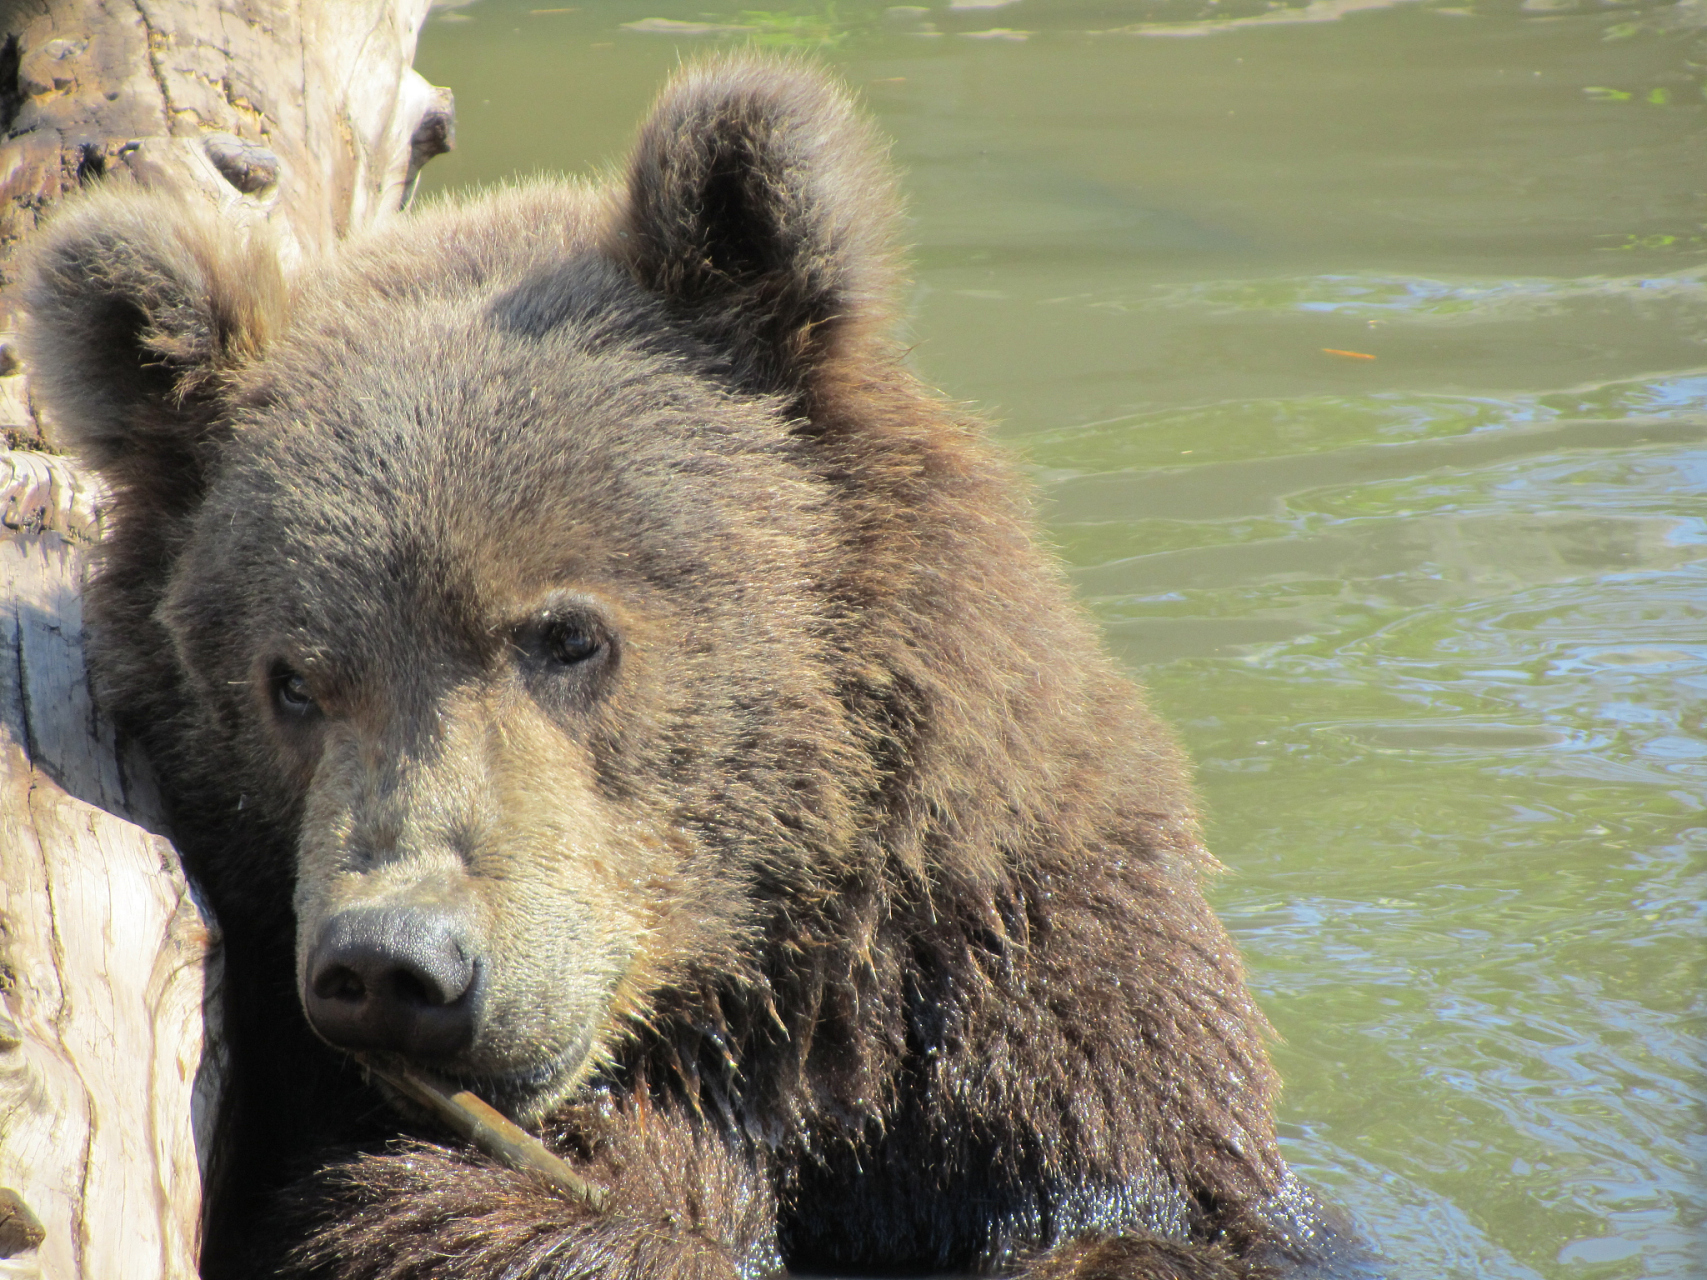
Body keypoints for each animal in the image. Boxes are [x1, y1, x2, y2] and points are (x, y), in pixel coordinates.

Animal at [20, 55, 1372, 1280]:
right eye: (290, 679)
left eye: (566, 633)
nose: (396, 962)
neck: (756, 1011)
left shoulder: (1036, 1002)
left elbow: (1151, 1220)